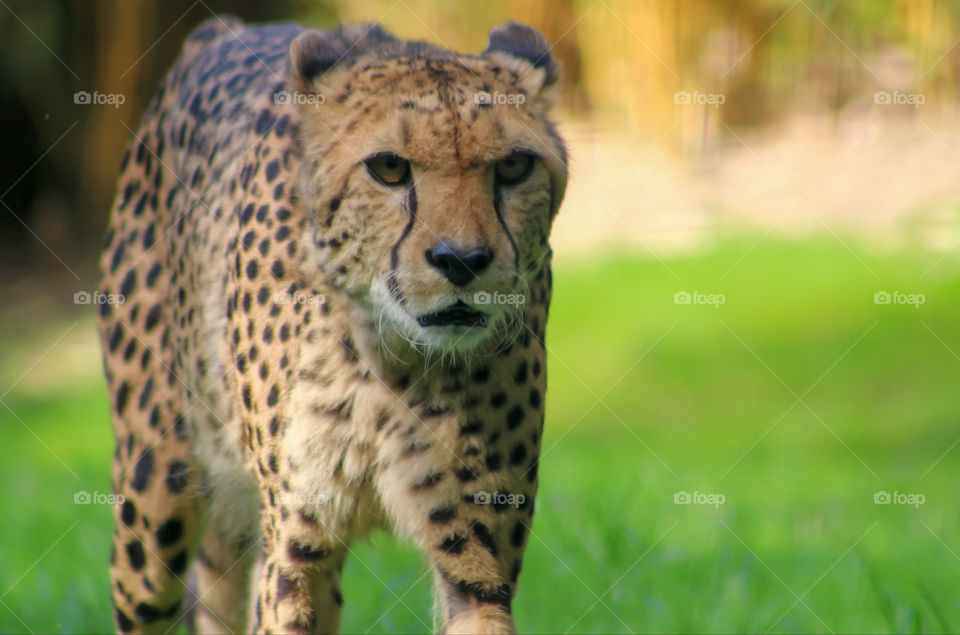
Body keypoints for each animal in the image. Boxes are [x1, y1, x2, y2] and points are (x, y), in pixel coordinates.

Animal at [97, 15, 566, 634]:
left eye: (513, 165)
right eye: (388, 167)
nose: (461, 260)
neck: (395, 359)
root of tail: (222, 29)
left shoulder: (478, 560)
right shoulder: (296, 545)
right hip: (155, 493)